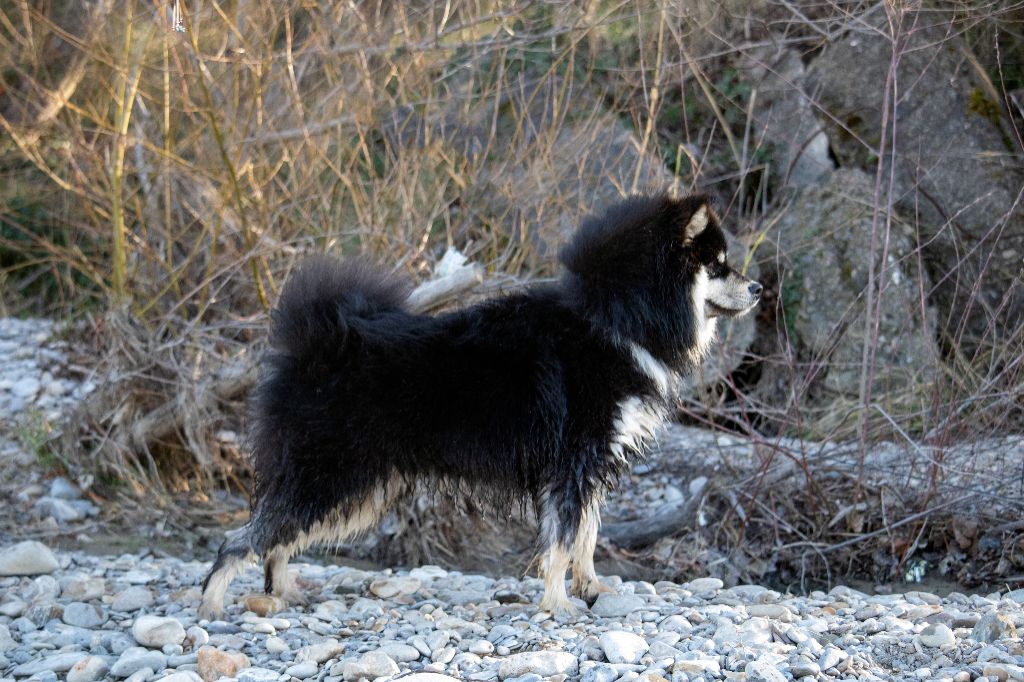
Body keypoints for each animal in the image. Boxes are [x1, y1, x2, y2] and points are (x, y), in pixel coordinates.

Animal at [199, 192, 761, 614]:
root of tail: (318, 343)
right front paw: (558, 604)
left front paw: (591, 589)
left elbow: (586, 536)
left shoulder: (591, 467)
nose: (757, 287)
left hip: (356, 491)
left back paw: (284, 592)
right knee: (244, 538)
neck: (616, 321)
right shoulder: (573, 464)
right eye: (717, 266)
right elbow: (562, 542)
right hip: (330, 478)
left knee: (276, 541)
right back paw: (212, 605)